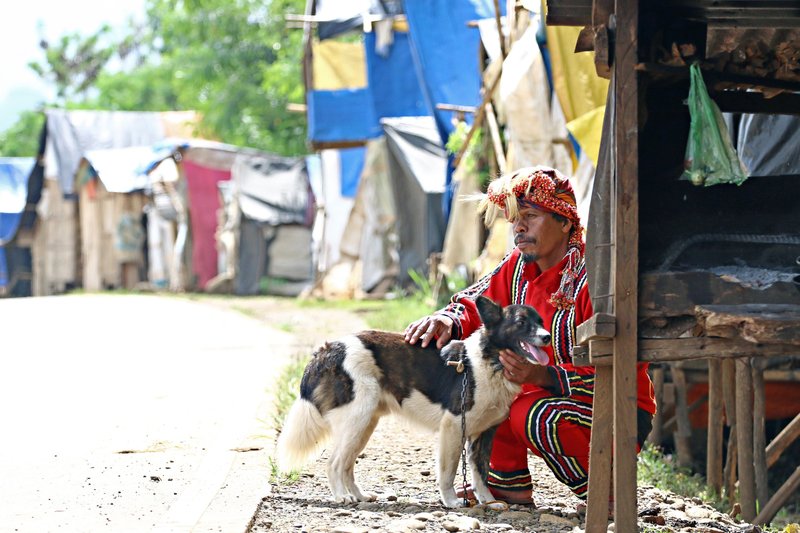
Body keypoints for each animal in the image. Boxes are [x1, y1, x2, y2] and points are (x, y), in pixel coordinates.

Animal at [276, 296, 552, 508]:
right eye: (521, 323)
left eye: (541, 322)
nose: (548, 337)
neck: (489, 361)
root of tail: (328, 349)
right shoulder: (453, 427)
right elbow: (449, 471)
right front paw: (451, 501)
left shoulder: (483, 434)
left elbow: (480, 474)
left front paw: (488, 501)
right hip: (356, 420)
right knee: (334, 464)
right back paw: (341, 497)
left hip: (364, 425)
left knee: (346, 465)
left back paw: (359, 496)